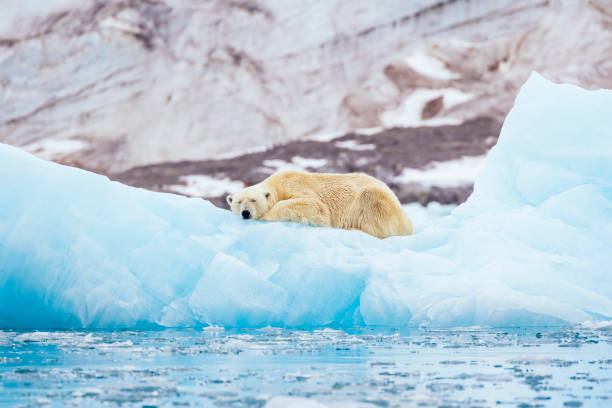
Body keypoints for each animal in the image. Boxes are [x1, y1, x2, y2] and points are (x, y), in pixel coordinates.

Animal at [225, 170, 412, 239]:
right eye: (238, 201)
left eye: (253, 200)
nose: (246, 213)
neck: (277, 183)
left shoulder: (296, 185)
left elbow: (315, 206)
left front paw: (267, 215)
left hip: (380, 202)